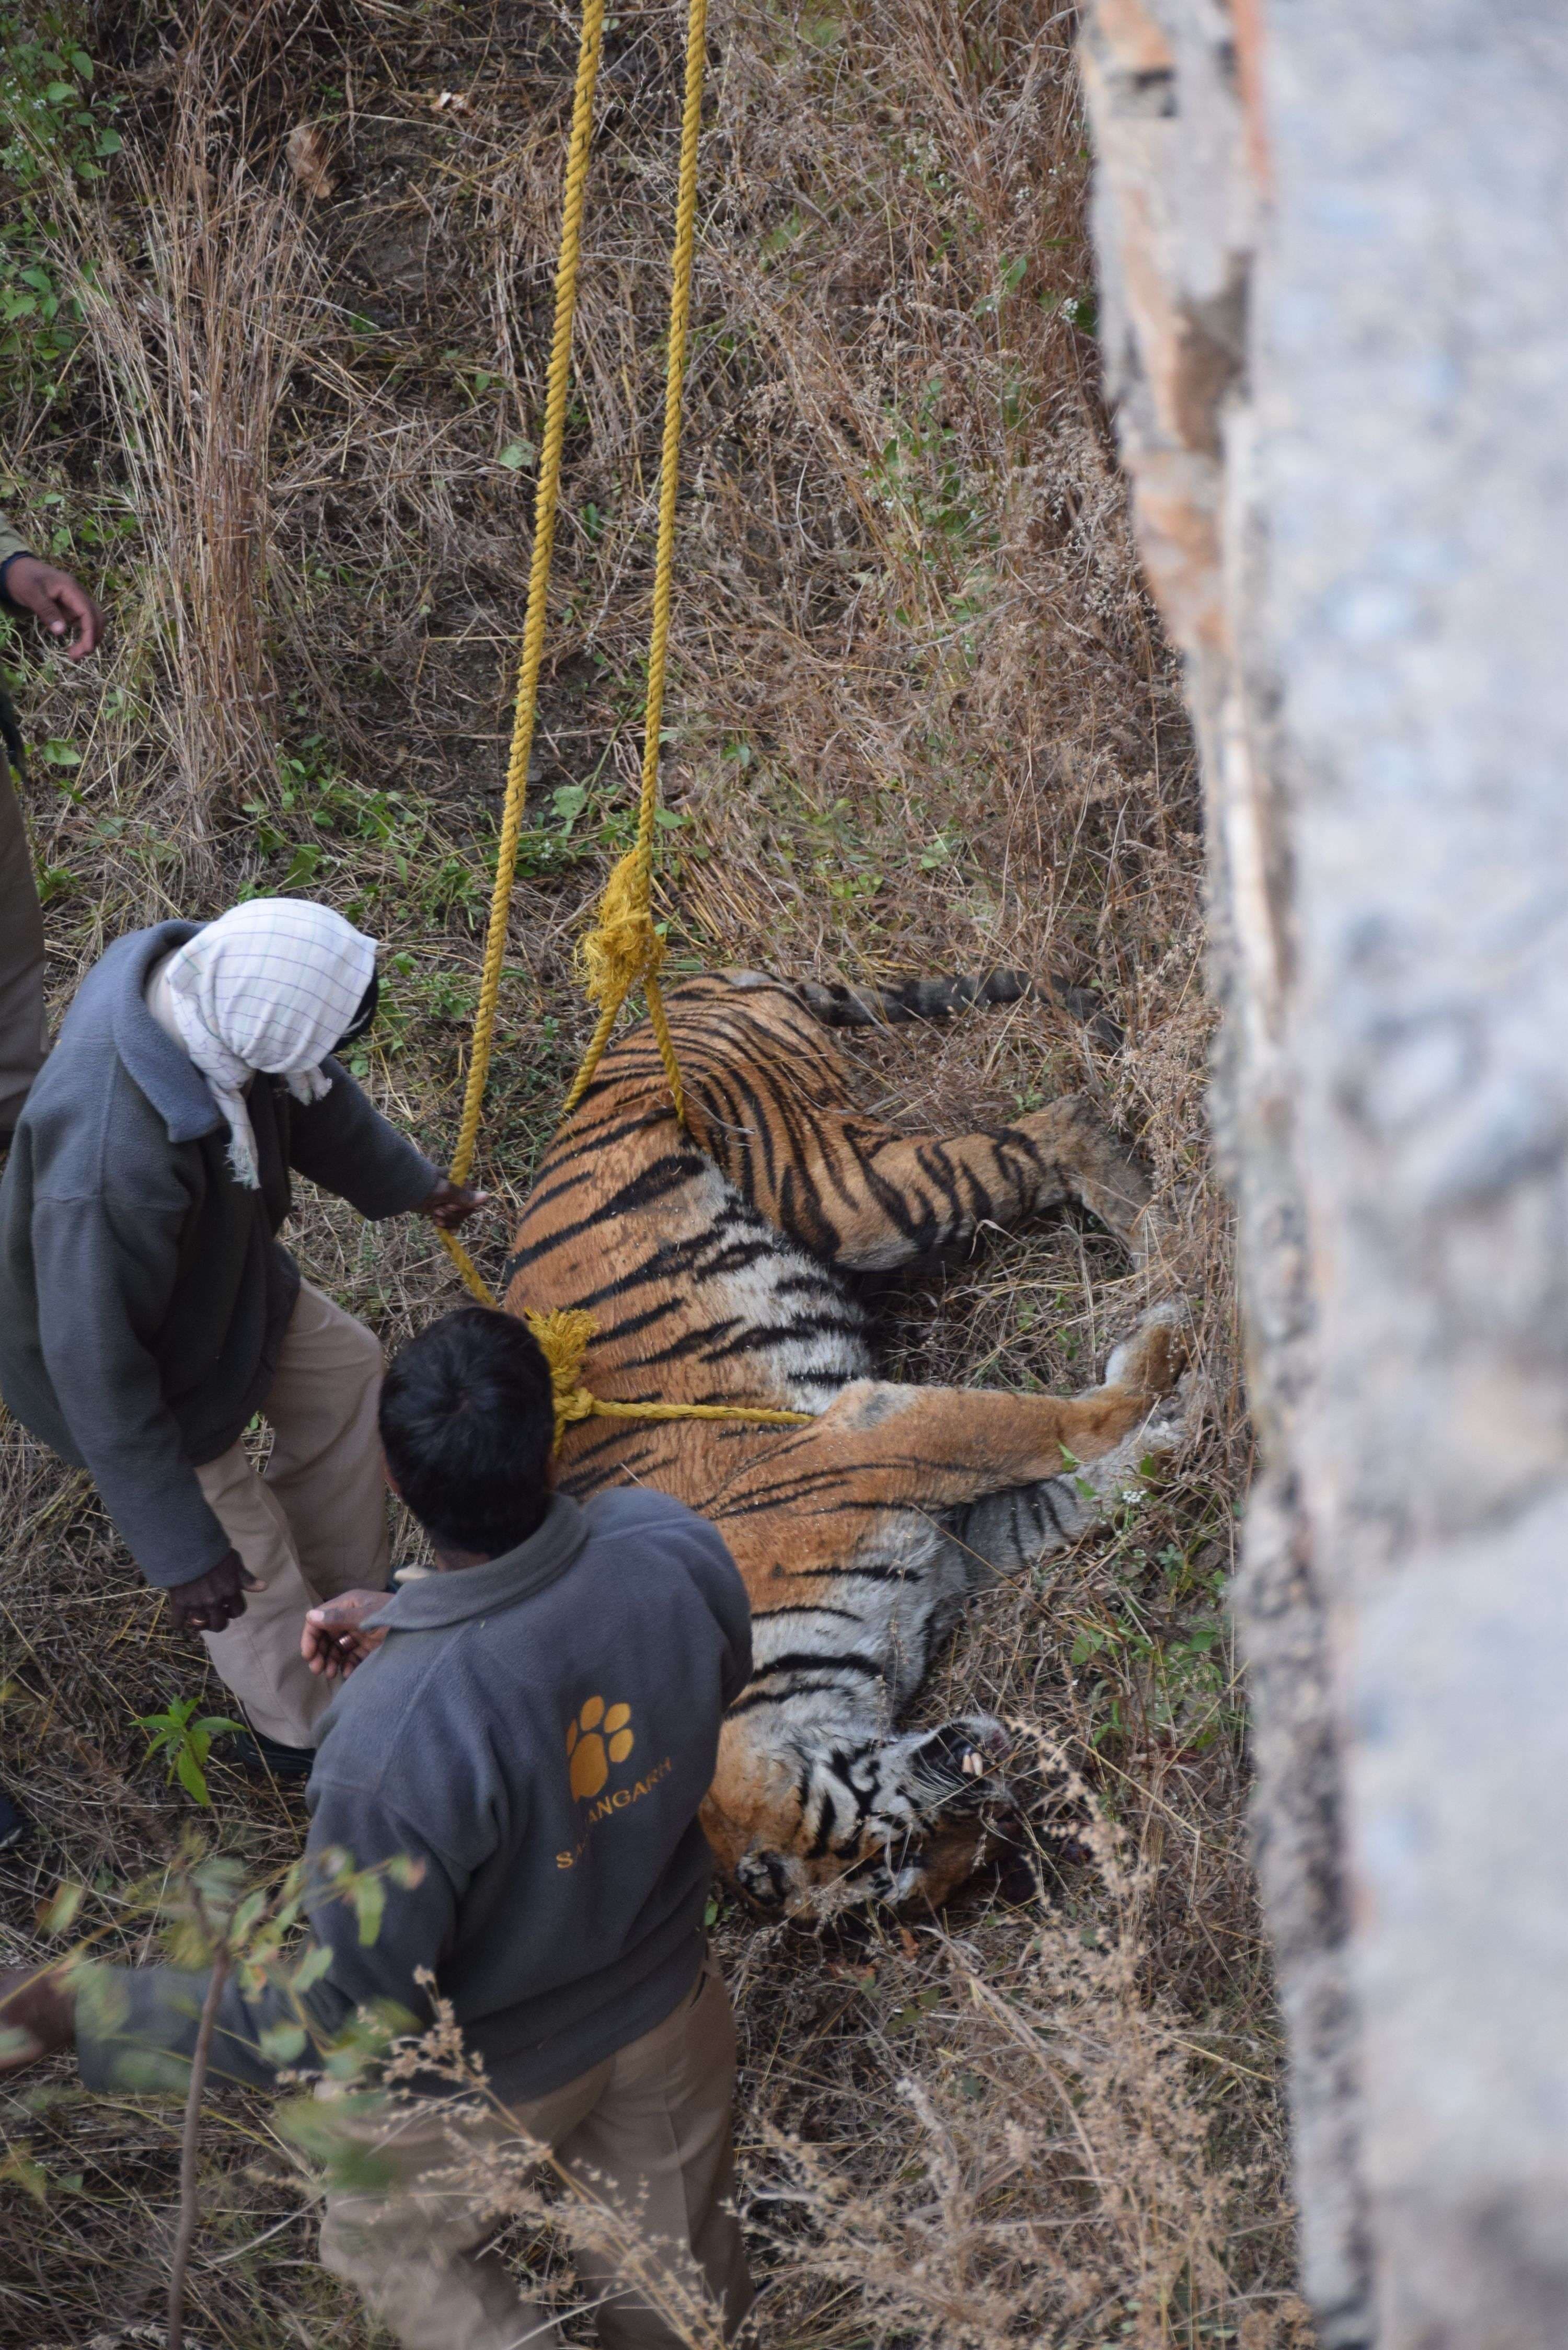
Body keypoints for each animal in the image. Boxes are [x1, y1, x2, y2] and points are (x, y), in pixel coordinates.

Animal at [503, 973, 1189, 1908]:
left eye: (884, 1861)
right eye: (903, 1879)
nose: (995, 1816)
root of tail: (701, 979)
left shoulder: (867, 1431)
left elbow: (1051, 1425)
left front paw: (1167, 1357)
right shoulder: (960, 1542)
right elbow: (1075, 1493)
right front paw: (1175, 1434)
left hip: (839, 1189)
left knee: (1059, 1119)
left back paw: (1169, 1251)